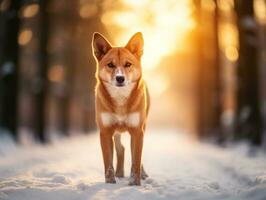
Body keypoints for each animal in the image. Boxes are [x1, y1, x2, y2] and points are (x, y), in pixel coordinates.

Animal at [91, 31, 150, 186]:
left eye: (128, 64)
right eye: (110, 65)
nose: (120, 78)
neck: (120, 99)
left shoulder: (137, 131)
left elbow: (136, 160)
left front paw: (135, 183)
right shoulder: (105, 132)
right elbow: (108, 162)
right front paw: (110, 182)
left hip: (143, 127)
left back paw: (142, 174)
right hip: (116, 132)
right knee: (121, 149)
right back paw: (119, 173)